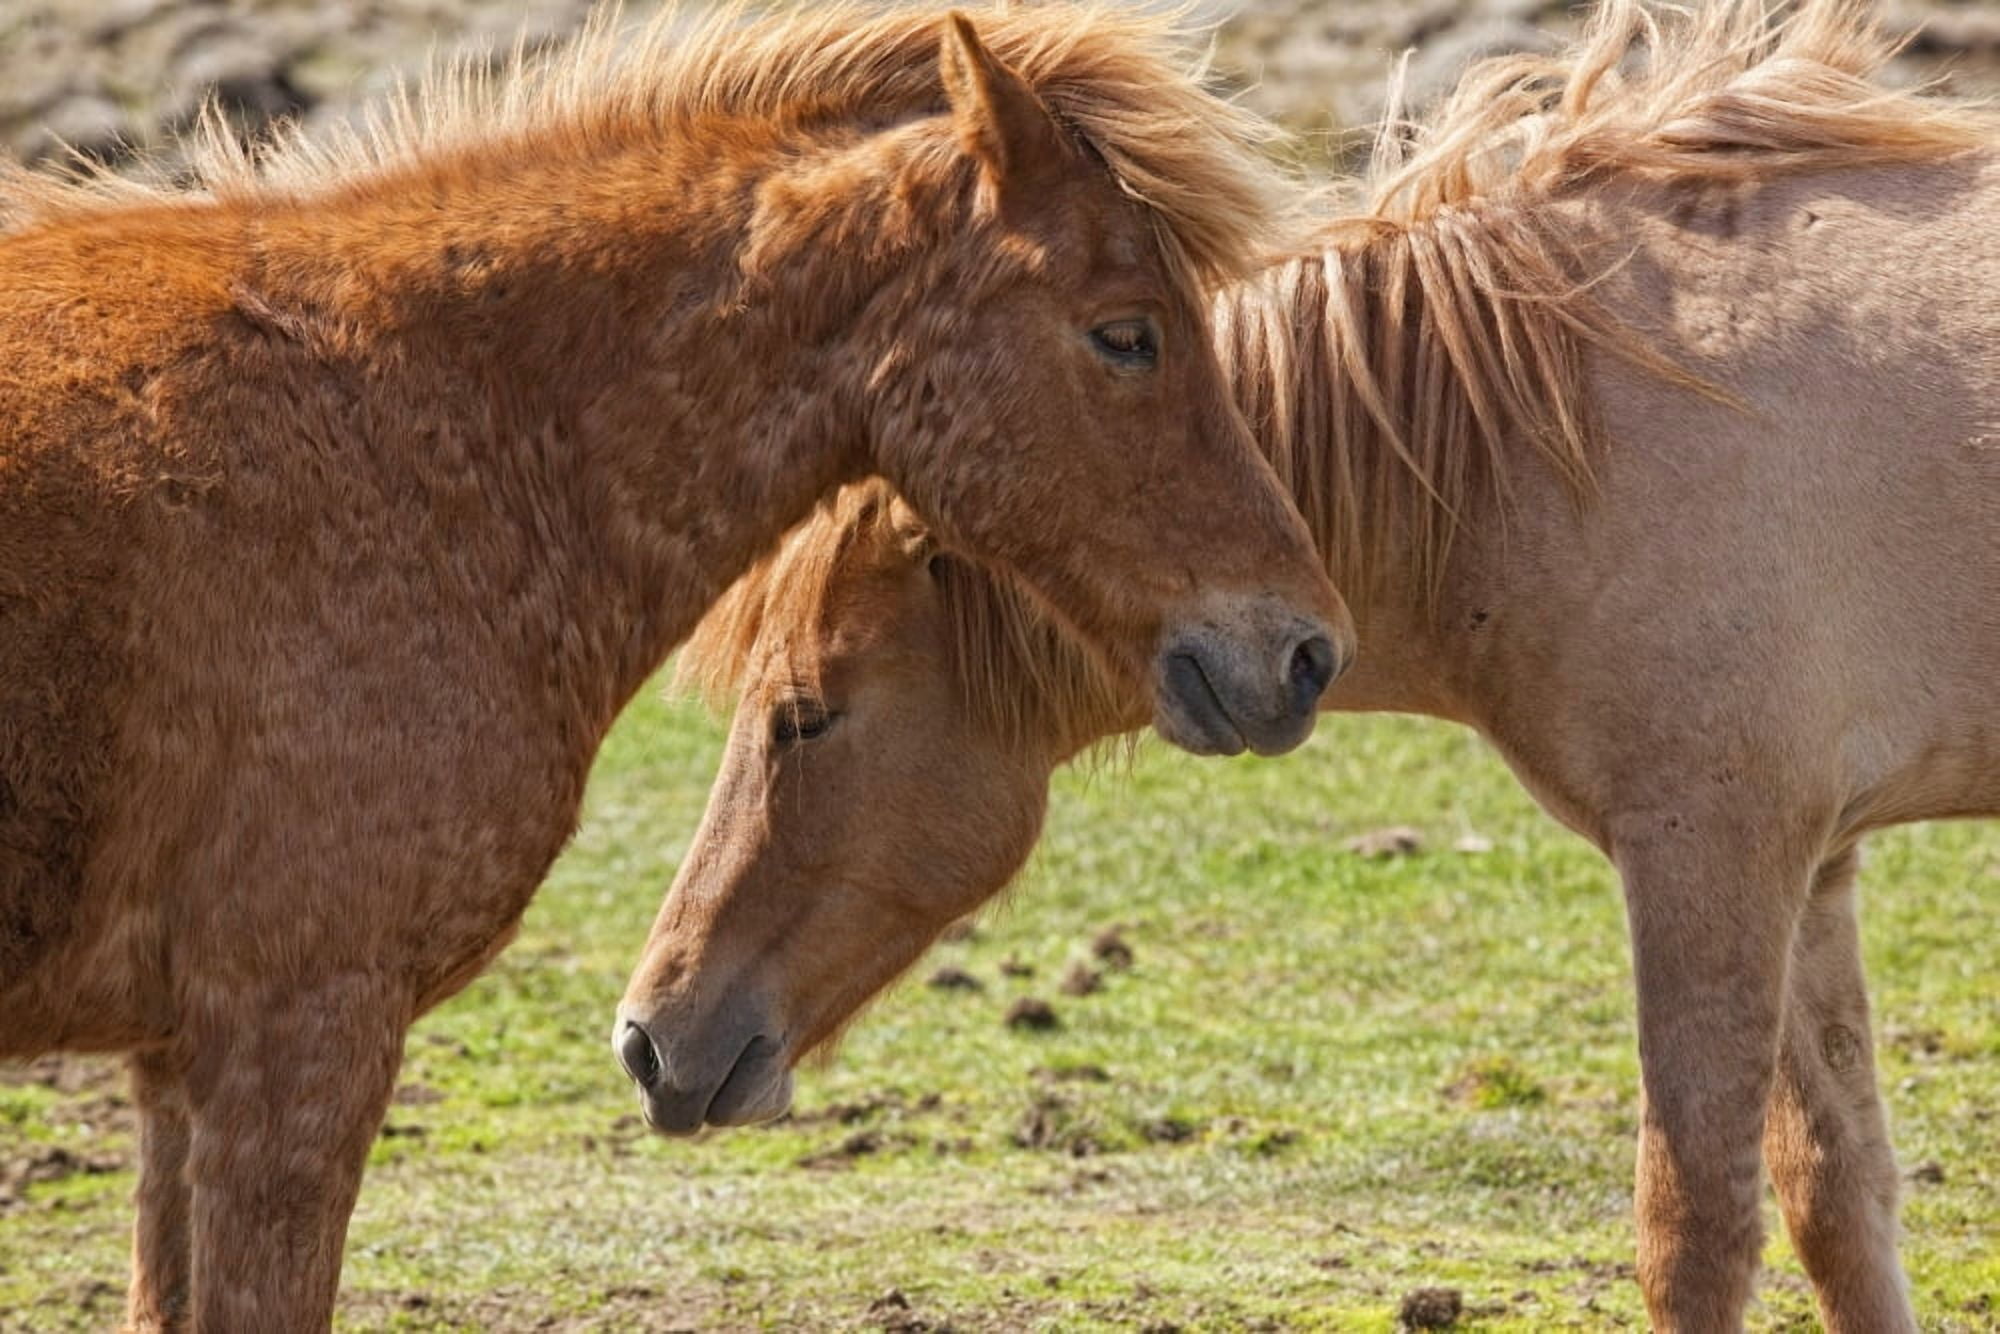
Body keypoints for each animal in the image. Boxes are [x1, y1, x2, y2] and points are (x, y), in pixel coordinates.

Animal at [620, 4, 1999, 1330]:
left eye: (805, 714)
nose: (647, 1037)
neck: (1550, 428)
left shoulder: (1710, 855)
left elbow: (1695, 1230)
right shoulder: (1811, 866)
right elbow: (1836, 1201)